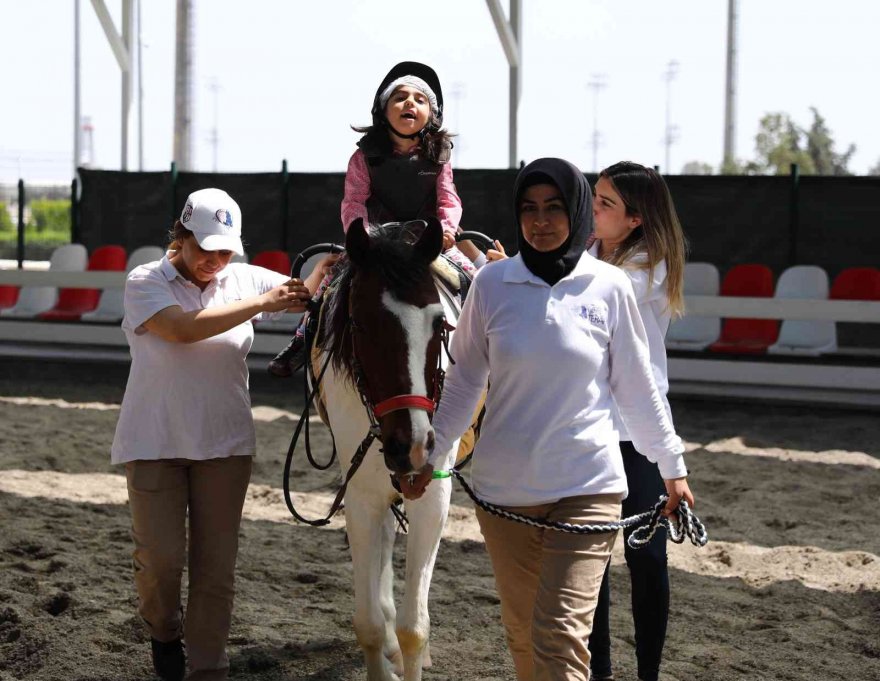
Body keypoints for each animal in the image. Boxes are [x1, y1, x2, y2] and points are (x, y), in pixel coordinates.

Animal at [314, 218, 460, 680]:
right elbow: (369, 624)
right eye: (360, 324)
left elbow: (416, 628)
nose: (409, 444)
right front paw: (385, 649)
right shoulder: (360, 497)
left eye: (440, 325)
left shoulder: (432, 494)